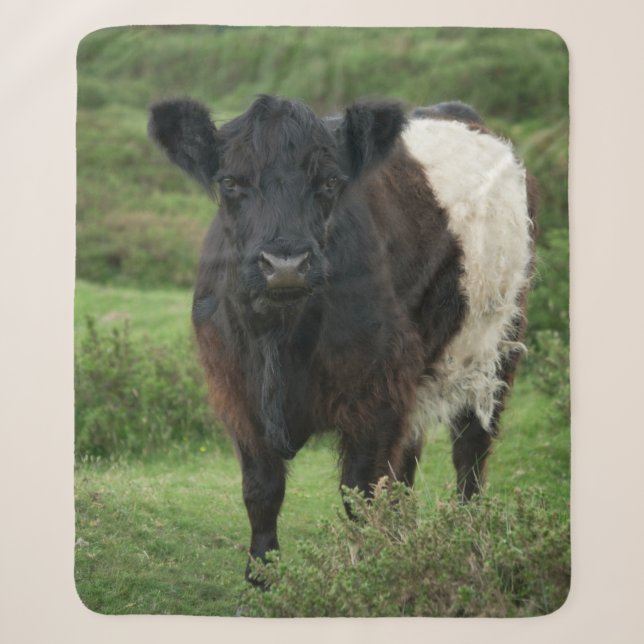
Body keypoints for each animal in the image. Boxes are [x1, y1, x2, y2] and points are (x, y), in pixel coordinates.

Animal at [148, 94, 536, 584]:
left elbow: (363, 493)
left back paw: (468, 537)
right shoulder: (235, 390)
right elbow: (261, 489)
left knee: (471, 450)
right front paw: (262, 577)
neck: (280, 337)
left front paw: (371, 571)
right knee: (409, 463)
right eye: (230, 182)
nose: (286, 265)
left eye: (330, 181)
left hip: (496, 346)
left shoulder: (378, 391)